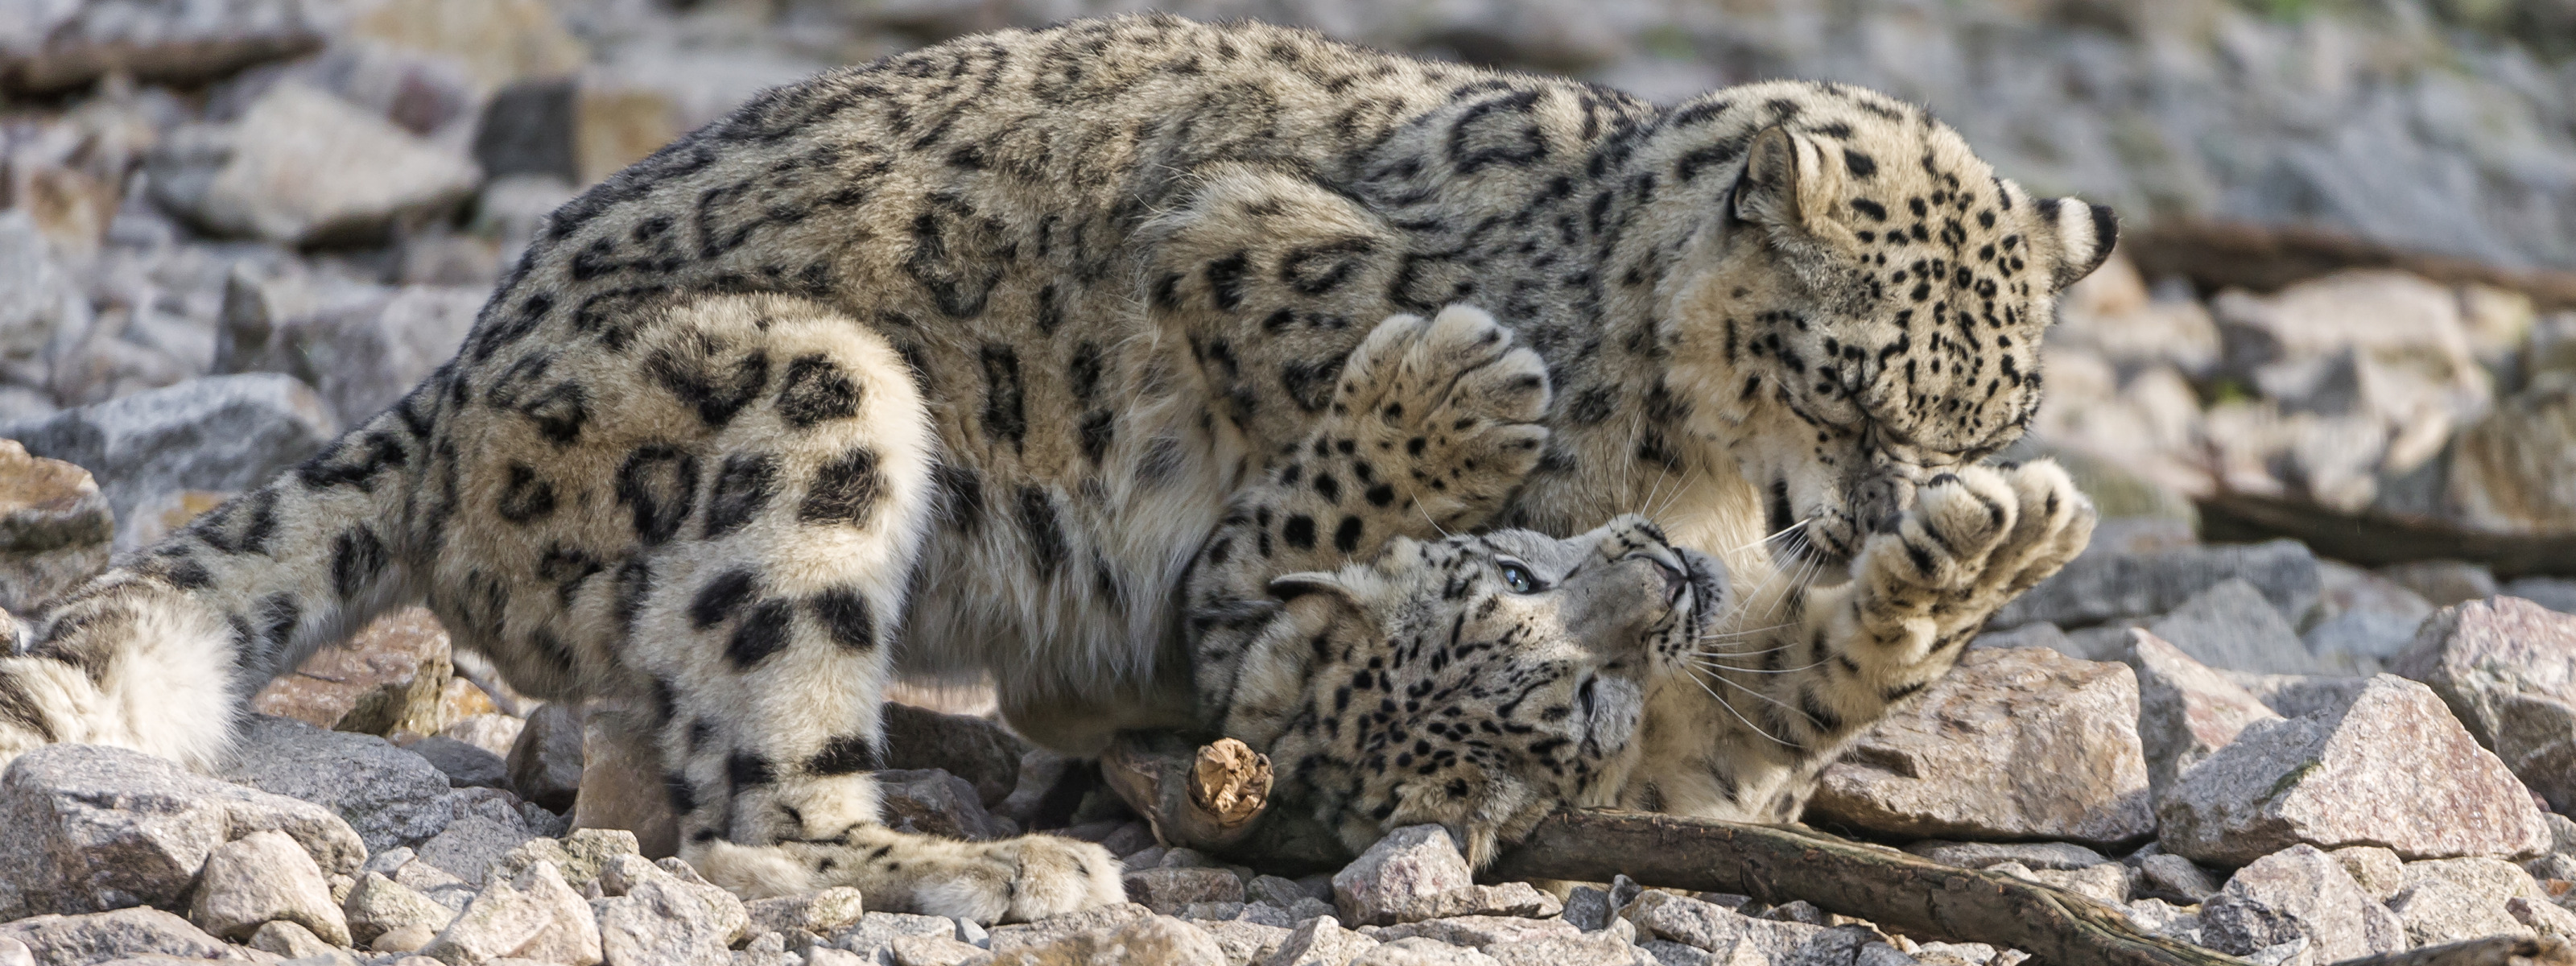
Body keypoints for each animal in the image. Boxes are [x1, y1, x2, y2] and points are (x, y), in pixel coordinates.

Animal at [0, 13, 2102, 922]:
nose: (1879, 503)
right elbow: (1299, 502)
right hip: (805, 400)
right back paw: (957, 850)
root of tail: (454, 379)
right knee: (762, 776)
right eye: (1859, 396)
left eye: (1983, 416)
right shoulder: (1252, 285)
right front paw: (1462, 393)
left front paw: (1997, 545)